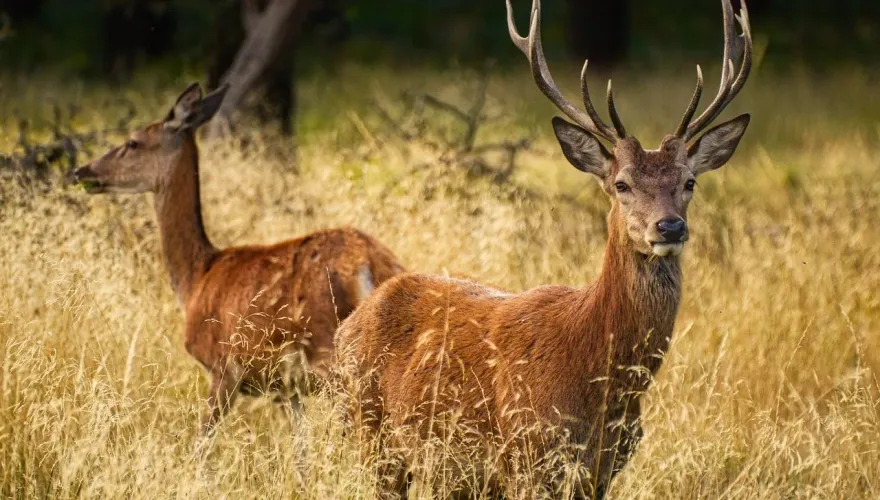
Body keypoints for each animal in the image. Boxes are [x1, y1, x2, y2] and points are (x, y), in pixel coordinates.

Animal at [71, 83, 404, 434]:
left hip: (329, 350)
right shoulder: (287, 389)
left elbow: (202, 439)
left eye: (132, 142)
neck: (196, 278)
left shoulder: (223, 367)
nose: (80, 171)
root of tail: (369, 264)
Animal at [335, 0, 752, 497]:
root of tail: (348, 324)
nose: (669, 227)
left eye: (689, 182)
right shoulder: (526, 454)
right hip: (371, 433)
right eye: (621, 184)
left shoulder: (603, 470)